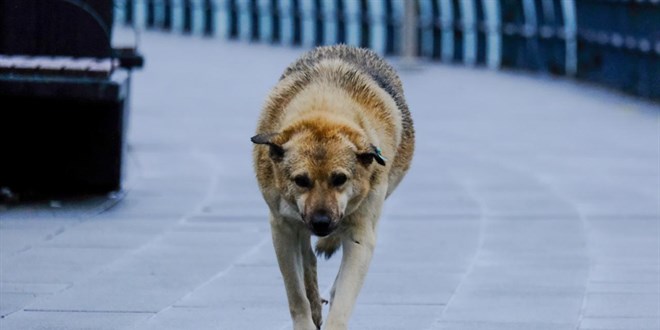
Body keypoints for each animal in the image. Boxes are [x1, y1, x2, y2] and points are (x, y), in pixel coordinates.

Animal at [251, 44, 412, 330]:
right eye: (301, 180)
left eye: (340, 179)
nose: (322, 222)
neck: (324, 110)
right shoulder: (281, 227)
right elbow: (296, 293)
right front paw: (306, 317)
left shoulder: (362, 230)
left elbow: (344, 298)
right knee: (307, 258)